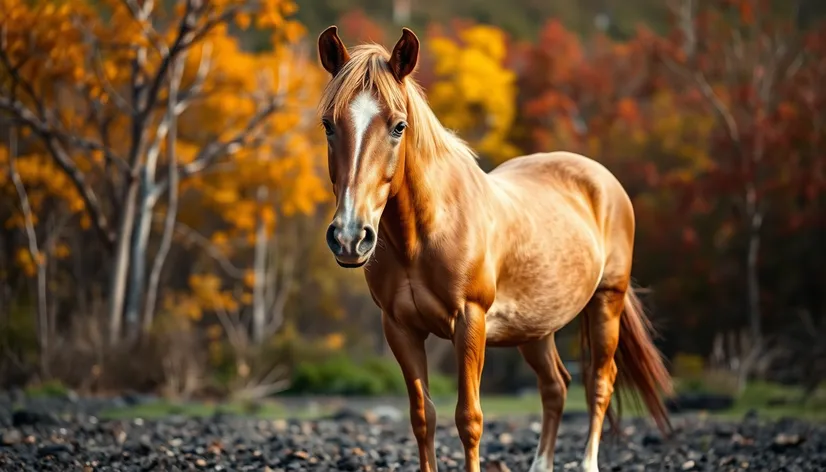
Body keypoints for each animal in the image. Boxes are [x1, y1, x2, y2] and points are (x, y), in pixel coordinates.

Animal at [314, 25, 668, 472]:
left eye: (398, 126)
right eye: (328, 124)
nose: (349, 236)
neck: (425, 234)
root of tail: (601, 179)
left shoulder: (471, 321)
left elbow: (469, 417)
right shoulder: (400, 328)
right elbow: (422, 417)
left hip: (608, 302)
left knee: (599, 384)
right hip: (535, 328)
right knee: (555, 386)